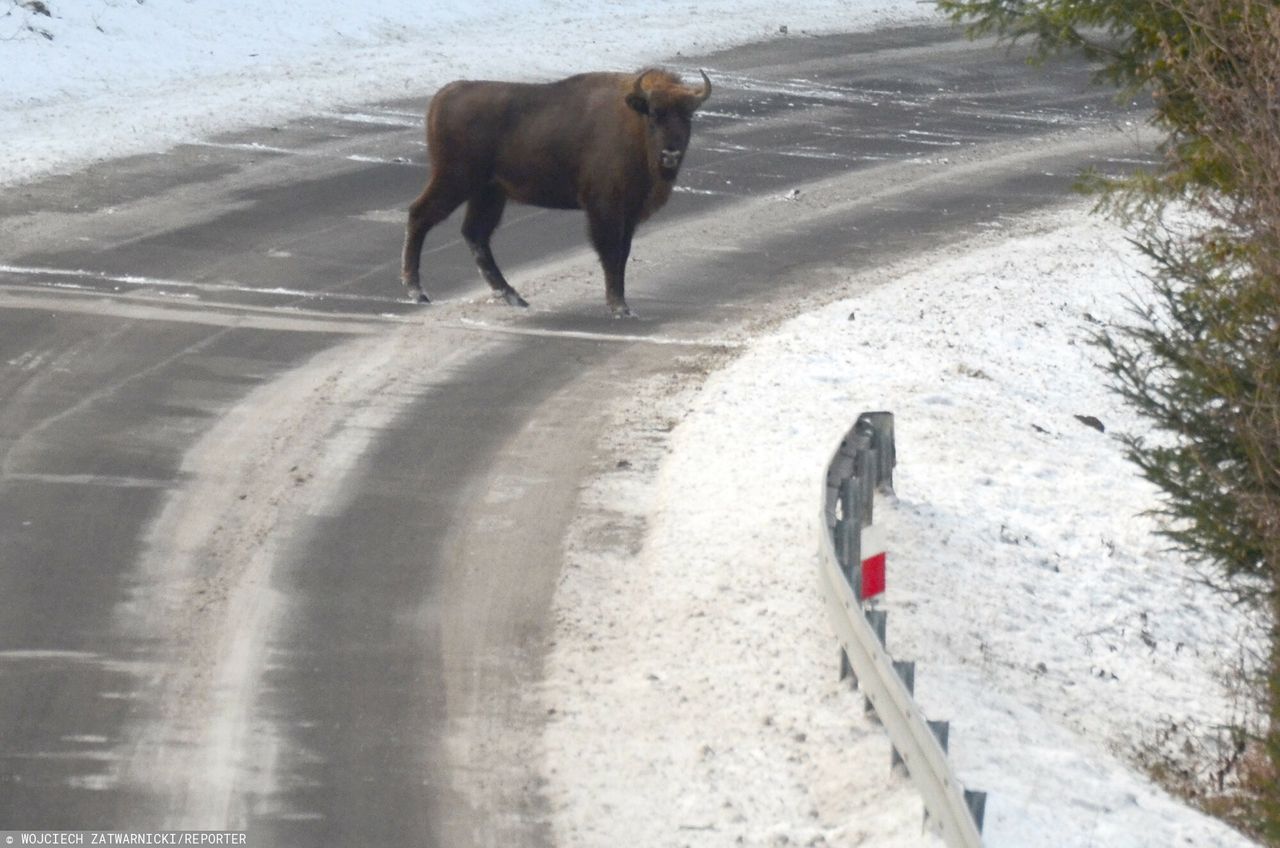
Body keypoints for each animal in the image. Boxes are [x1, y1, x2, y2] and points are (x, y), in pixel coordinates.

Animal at [399, 67, 711, 318]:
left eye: (688, 115)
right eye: (655, 114)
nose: (670, 154)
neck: (634, 121)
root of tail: (444, 95)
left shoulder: (629, 213)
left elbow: (622, 254)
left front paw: (622, 305)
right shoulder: (605, 209)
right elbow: (611, 254)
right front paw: (619, 307)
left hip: (489, 192)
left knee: (475, 234)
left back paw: (514, 297)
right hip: (455, 181)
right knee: (420, 216)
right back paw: (417, 292)